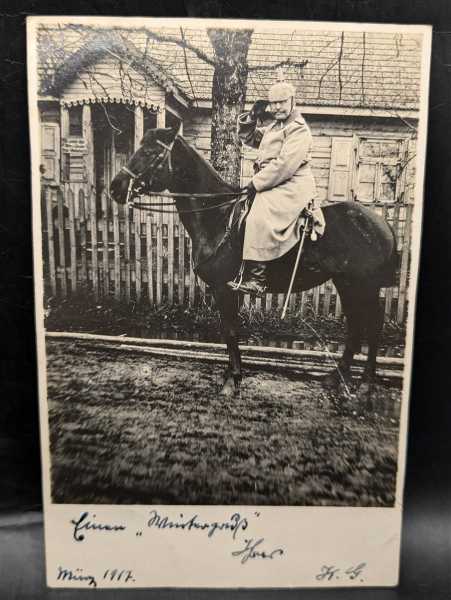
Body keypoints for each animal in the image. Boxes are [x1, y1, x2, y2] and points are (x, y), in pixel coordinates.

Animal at [111, 127, 398, 398]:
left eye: (150, 152)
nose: (115, 187)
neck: (218, 216)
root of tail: (381, 223)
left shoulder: (224, 289)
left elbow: (230, 331)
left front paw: (233, 380)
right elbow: (229, 331)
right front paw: (232, 374)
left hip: (364, 286)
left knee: (372, 326)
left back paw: (366, 384)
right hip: (346, 284)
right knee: (355, 326)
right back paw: (337, 376)